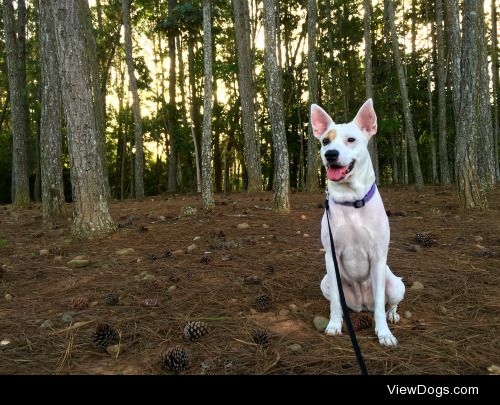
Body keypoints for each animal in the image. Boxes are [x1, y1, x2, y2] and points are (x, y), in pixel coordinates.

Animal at [312, 98, 406, 348]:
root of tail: (363, 304)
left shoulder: (378, 255)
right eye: (325, 141)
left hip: (396, 285)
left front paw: (384, 333)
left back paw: (392, 315)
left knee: (388, 304)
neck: (351, 200)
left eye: (351, 140)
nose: (330, 154)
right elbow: (335, 301)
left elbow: (381, 307)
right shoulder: (331, 255)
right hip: (325, 281)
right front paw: (334, 324)